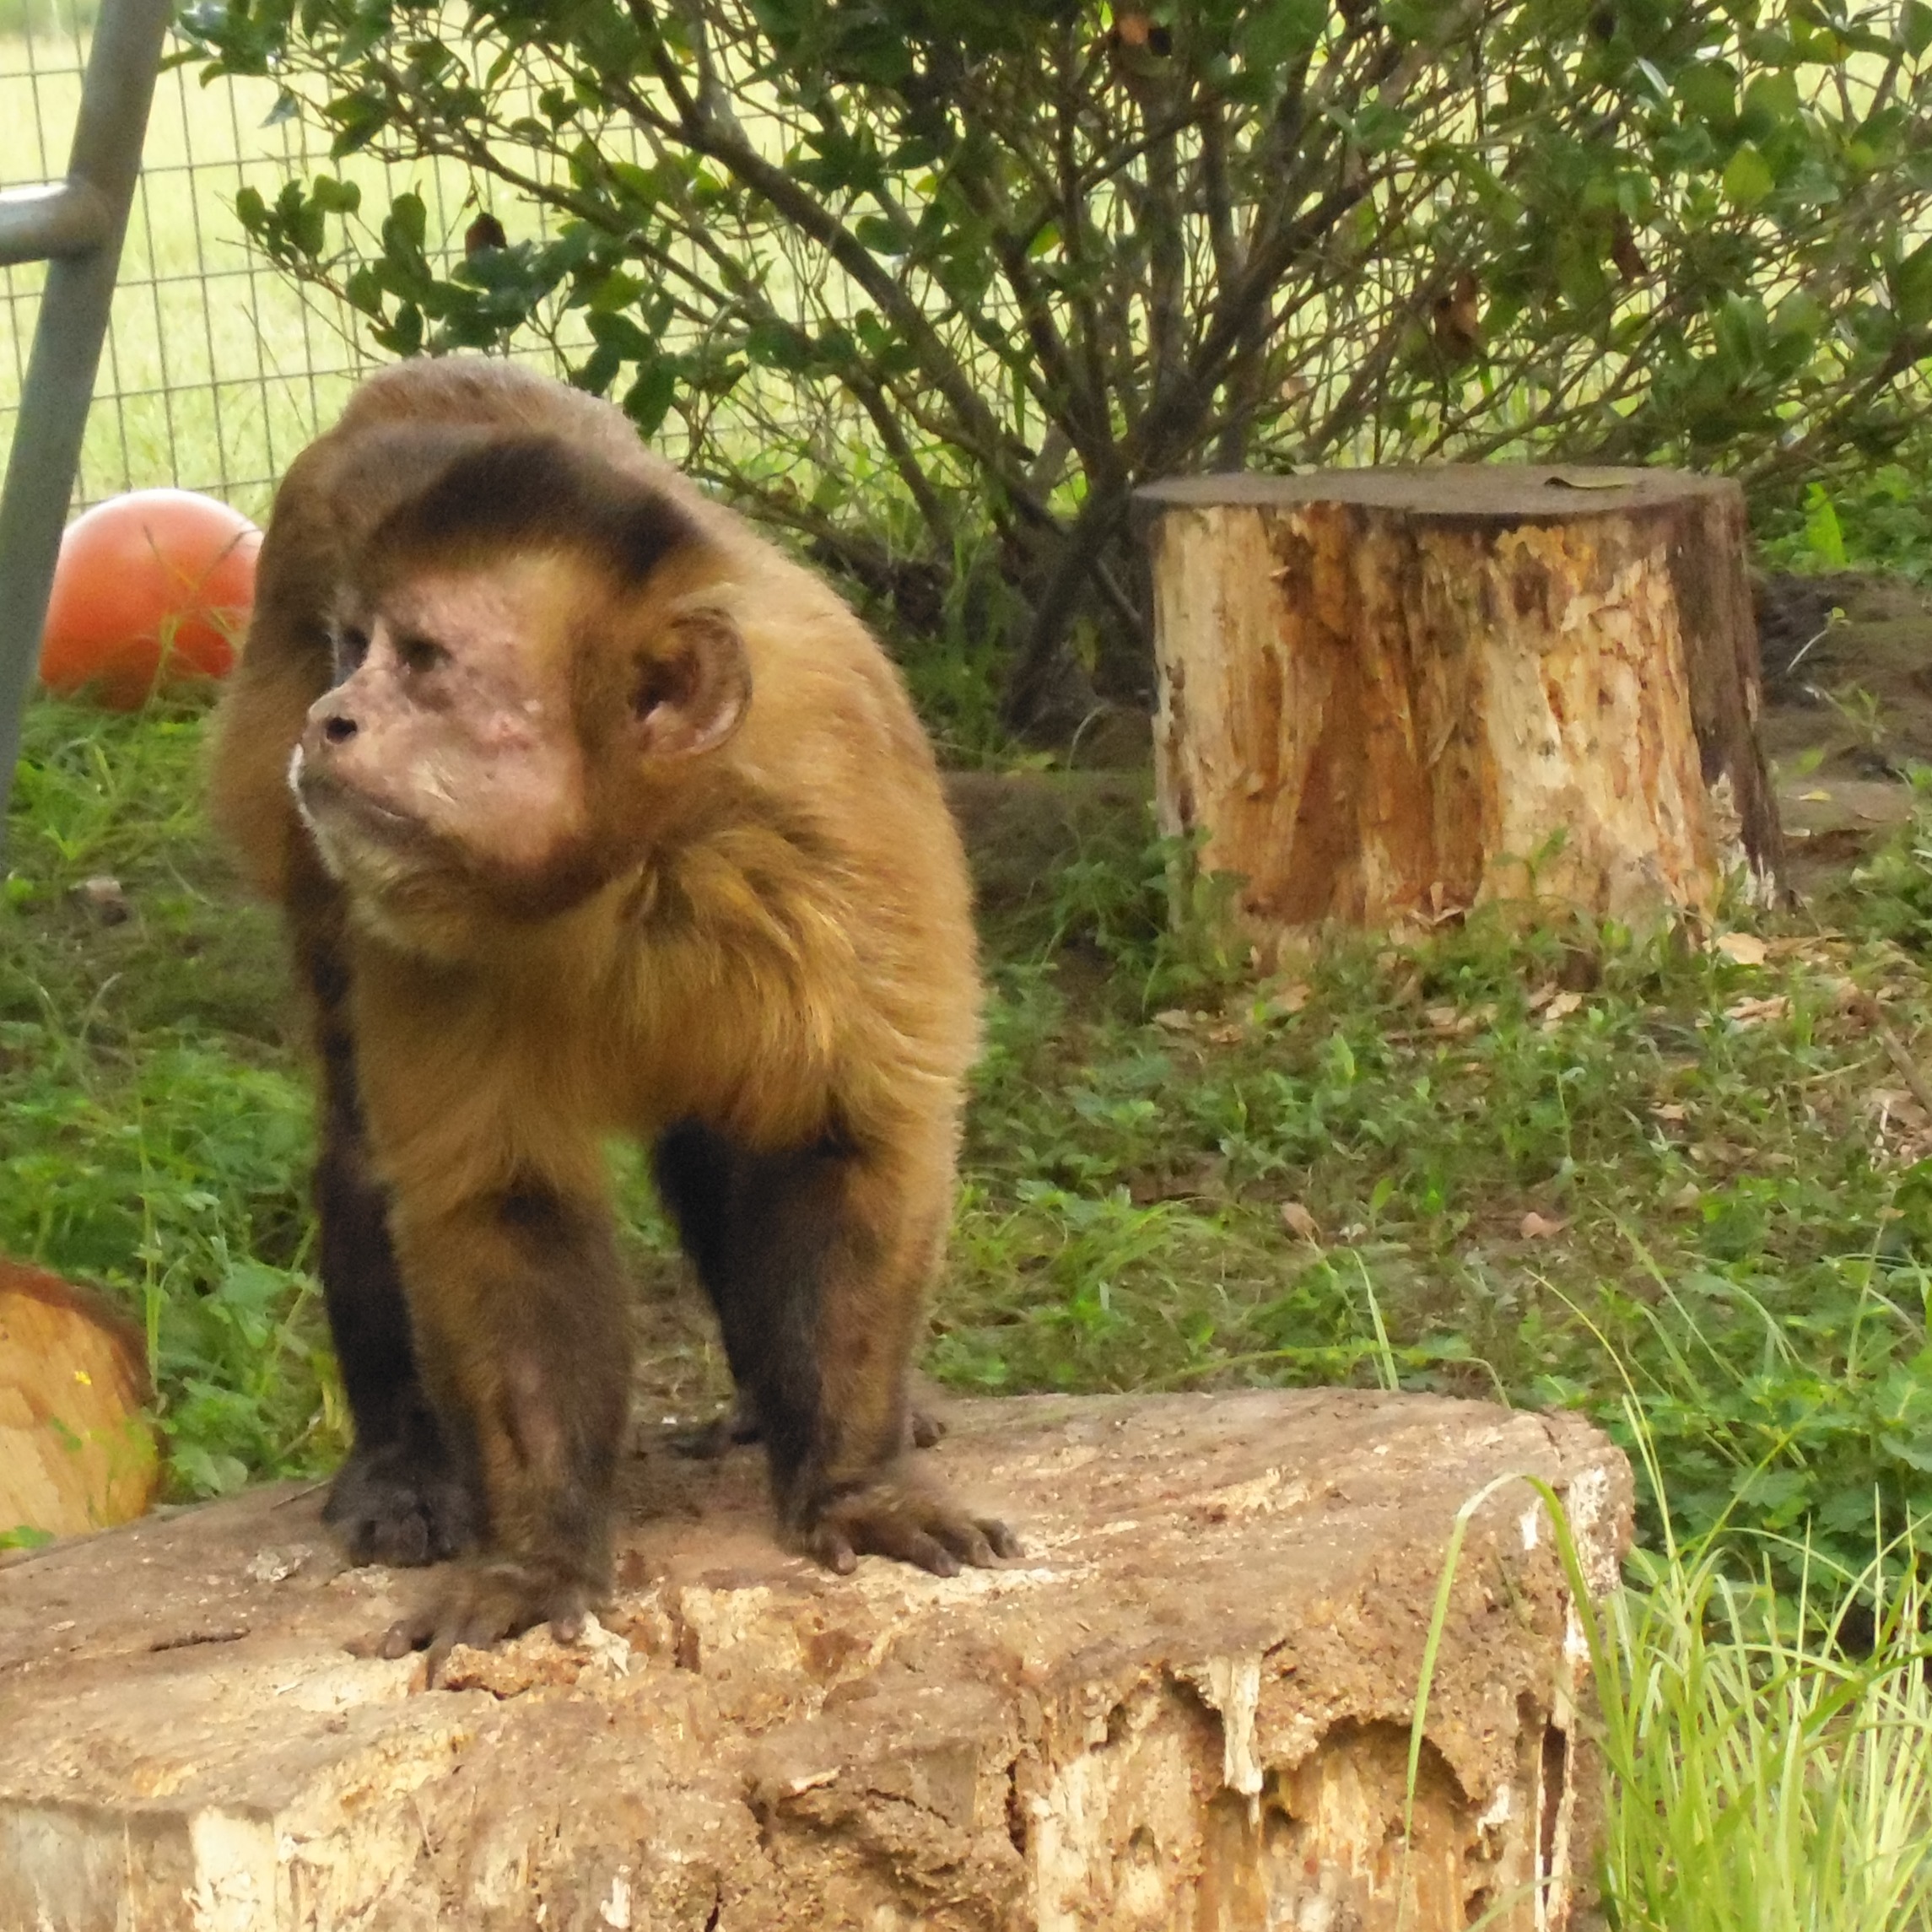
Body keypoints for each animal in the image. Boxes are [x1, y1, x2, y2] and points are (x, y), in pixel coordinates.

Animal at [209, 356, 1017, 1677]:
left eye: (425, 662)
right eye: (354, 650)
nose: (331, 717)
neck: (636, 852)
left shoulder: (846, 821)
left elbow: (844, 1139)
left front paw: (854, 1480)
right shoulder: (413, 907)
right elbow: (499, 1205)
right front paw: (539, 1555)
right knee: (354, 1109)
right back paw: (402, 1458)